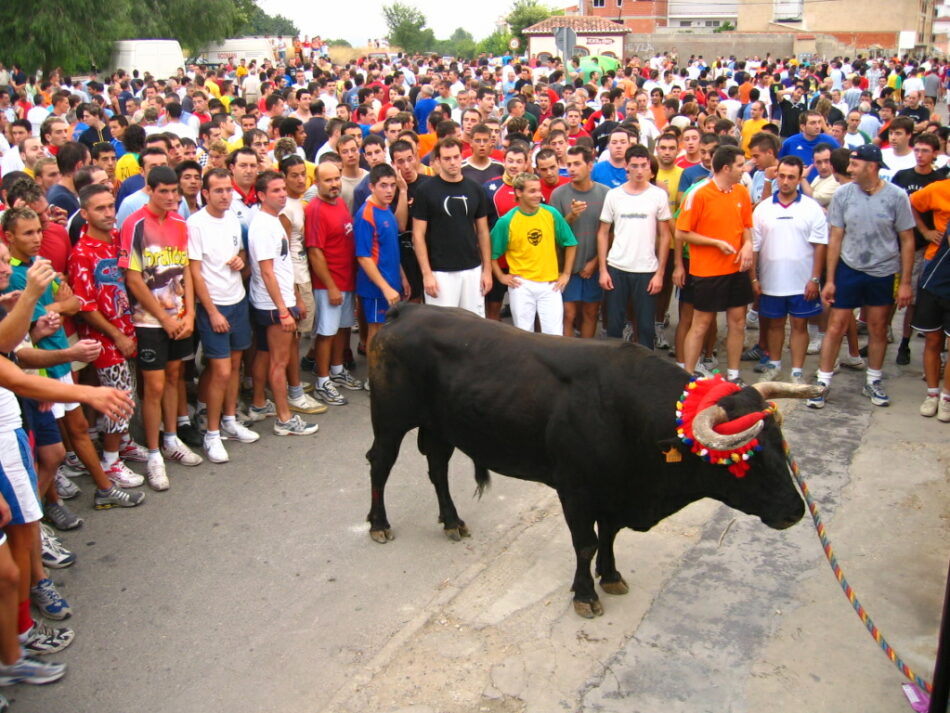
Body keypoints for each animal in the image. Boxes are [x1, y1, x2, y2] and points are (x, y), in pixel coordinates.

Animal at [362, 304, 820, 616]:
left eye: (780, 446)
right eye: (747, 459)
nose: (795, 511)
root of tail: (409, 310)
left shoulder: (614, 493)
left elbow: (610, 535)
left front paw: (612, 576)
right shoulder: (576, 490)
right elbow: (586, 542)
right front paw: (585, 593)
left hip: (440, 426)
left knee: (437, 467)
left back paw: (452, 520)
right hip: (391, 418)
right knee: (380, 463)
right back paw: (380, 524)